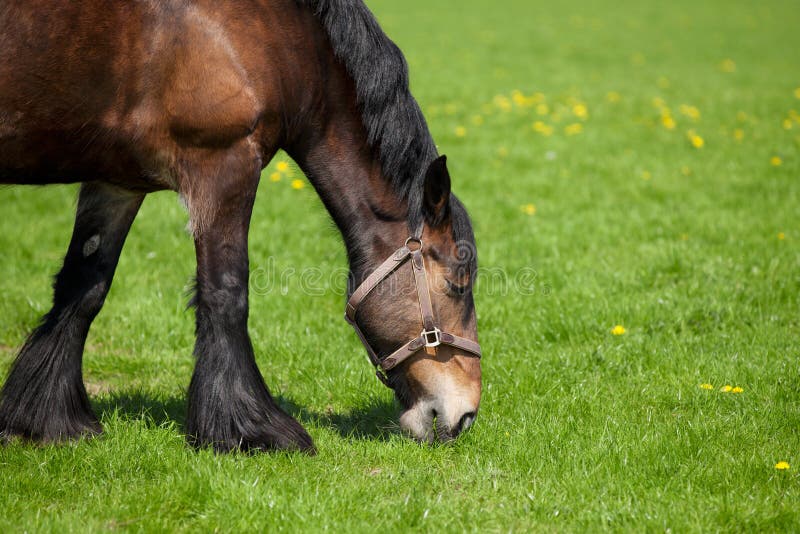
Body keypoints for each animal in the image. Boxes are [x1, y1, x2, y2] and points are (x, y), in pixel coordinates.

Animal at [0, 0, 482, 454]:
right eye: (457, 284)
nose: (466, 415)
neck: (278, 35)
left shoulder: (116, 183)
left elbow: (83, 289)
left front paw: (47, 421)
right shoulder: (224, 164)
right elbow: (226, 295)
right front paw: (247, 430)